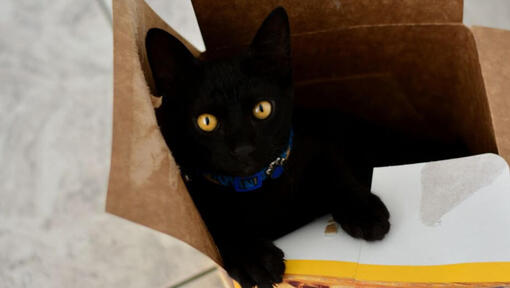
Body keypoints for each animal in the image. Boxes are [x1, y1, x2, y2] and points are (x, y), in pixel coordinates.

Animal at [145, 6, 388, 288]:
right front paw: (253, 259)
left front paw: (363, 210)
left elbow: (333, 169)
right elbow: (217, 221)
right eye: (206, 121)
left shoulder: (314, 141)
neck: (256, 187)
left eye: (262, 109)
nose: (243, 148)